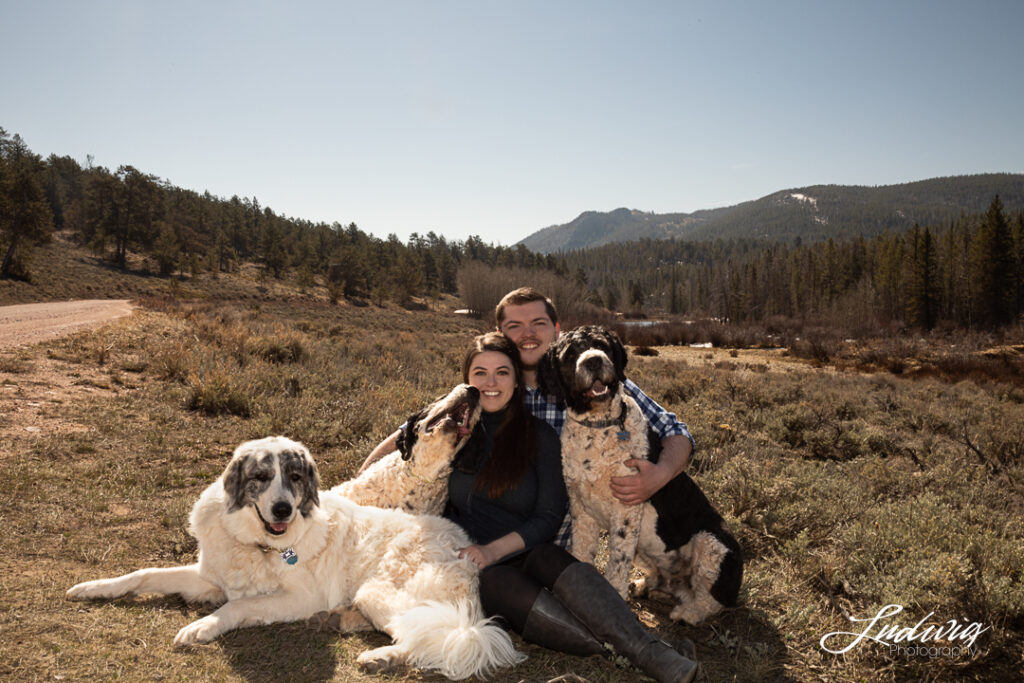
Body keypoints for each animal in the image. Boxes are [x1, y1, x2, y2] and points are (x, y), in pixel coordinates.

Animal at [68, 438, 524, 679]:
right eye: (261, 477)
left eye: (296, 477)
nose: (283, 508)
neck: (257, 544)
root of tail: (467, 550)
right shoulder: (208, 576)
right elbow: (143, 573)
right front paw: (93, 588)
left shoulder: (299, 598)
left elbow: (237, 606)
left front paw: (202, 627)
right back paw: (341, 621)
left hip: (381, 592)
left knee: (432, 636)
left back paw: (379, 655)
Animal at [536, 325, 745, 626]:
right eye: (571, 353)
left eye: (602, 345)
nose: (594, 361)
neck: (597, 425)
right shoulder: (581, 508)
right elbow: (582, 552)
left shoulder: (626, 509)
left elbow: (617, 560)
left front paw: (613, 595)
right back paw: (645, 586)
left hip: (712, 545)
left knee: (711, 600)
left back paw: (687, 612)